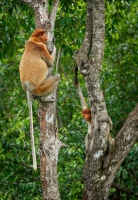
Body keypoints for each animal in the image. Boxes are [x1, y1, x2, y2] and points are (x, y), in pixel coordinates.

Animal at [19, 28, 59, 171]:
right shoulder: (41, 47)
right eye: (43, 34)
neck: (33, 40)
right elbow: (50, 63)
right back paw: (46, 98)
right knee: (56, 76)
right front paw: (55, 45)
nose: (47, 37)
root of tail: (28, 88)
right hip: (40, 87)